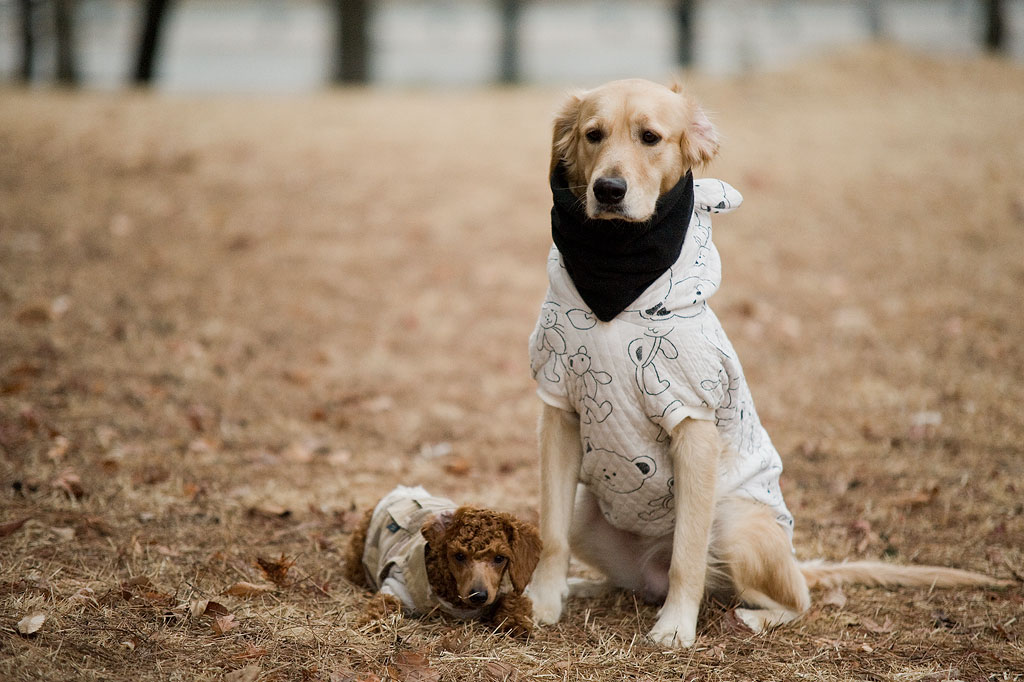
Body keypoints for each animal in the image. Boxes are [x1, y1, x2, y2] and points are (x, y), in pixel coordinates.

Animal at [344, 483, 540, 630]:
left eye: (499, 558)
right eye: (459, 556)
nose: (478, 596)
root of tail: (403, 490)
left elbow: (517, 600)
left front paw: (517, 624)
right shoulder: (396, 585)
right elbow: (384, 603)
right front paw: (371, 623)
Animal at [524, 79, 1011, 647]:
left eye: (650, 138)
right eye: (593, 135)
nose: (608, 190)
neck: (617, 285)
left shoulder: (693, 421)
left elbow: (688, 554)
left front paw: (675, 628)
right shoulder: (559, 407)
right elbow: (550, 532)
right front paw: (543, 600)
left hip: (737, 527)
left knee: (793, 598)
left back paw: (750, 615)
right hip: (589, 511)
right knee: (626, 577)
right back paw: (586, 587)